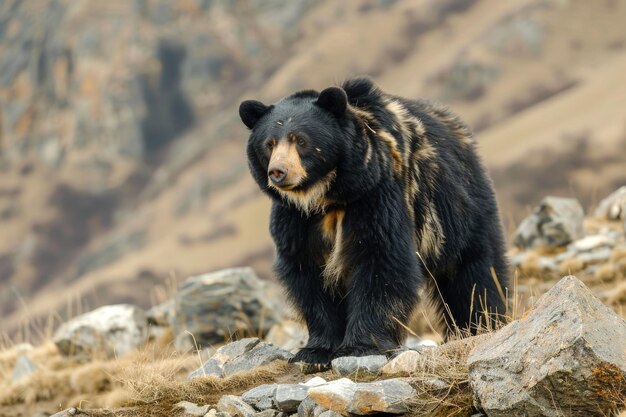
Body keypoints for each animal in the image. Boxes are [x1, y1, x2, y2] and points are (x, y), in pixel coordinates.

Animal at [239, 77, 508, 364]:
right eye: (269, 144)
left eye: (300, 140)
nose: (278, 172)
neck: (328, 198)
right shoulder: (295, 219)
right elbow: (307, 274)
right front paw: (314, 351)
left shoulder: (376, 195)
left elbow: (381, 260)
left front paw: (360, 346)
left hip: (457, 207)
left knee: (475, 270)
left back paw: (480, 324)